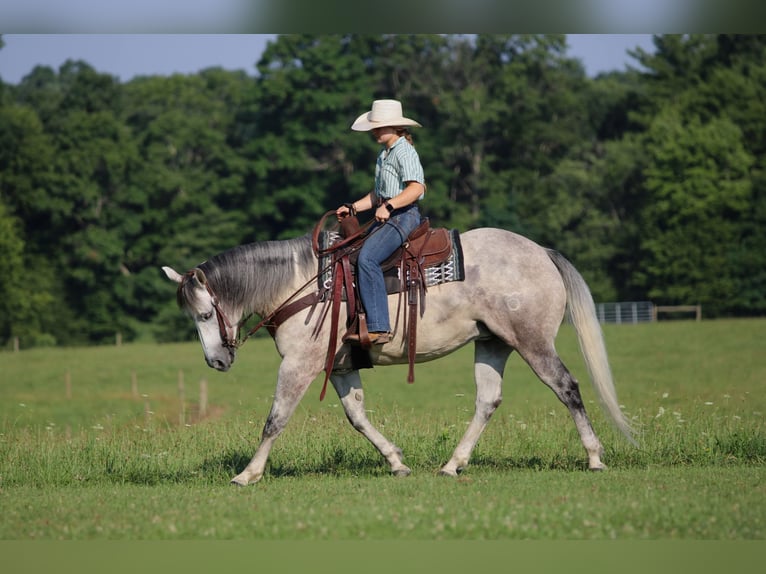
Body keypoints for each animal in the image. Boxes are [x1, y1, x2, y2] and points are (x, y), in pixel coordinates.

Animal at [162, 226, 635, 486]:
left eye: (205, 313)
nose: (216, 362)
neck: (304, 284)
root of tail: (542, 252)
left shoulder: (300, 364)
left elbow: (275, 419)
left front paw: (248, 474)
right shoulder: (340, 366)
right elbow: (357, 417)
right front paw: (395, 461)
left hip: (533, 342)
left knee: (567, 387)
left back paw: (594, 457)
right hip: (492, 343)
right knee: (488, 400)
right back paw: (452, 465)